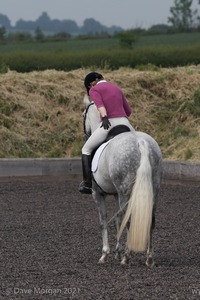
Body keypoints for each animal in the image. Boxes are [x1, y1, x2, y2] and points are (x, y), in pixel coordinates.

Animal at [82, 95, 162, 266]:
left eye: (83, 115)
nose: (85, 135)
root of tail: (140, 142)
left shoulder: (97, 194)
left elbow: (103, 221)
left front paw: (105, 254)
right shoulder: (116, 194)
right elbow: (117, 219)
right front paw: (117, 252)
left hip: (126, 191)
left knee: (129, 219)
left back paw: (127, 256)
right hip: (154, 189)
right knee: (151, 220)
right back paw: (149, 258)